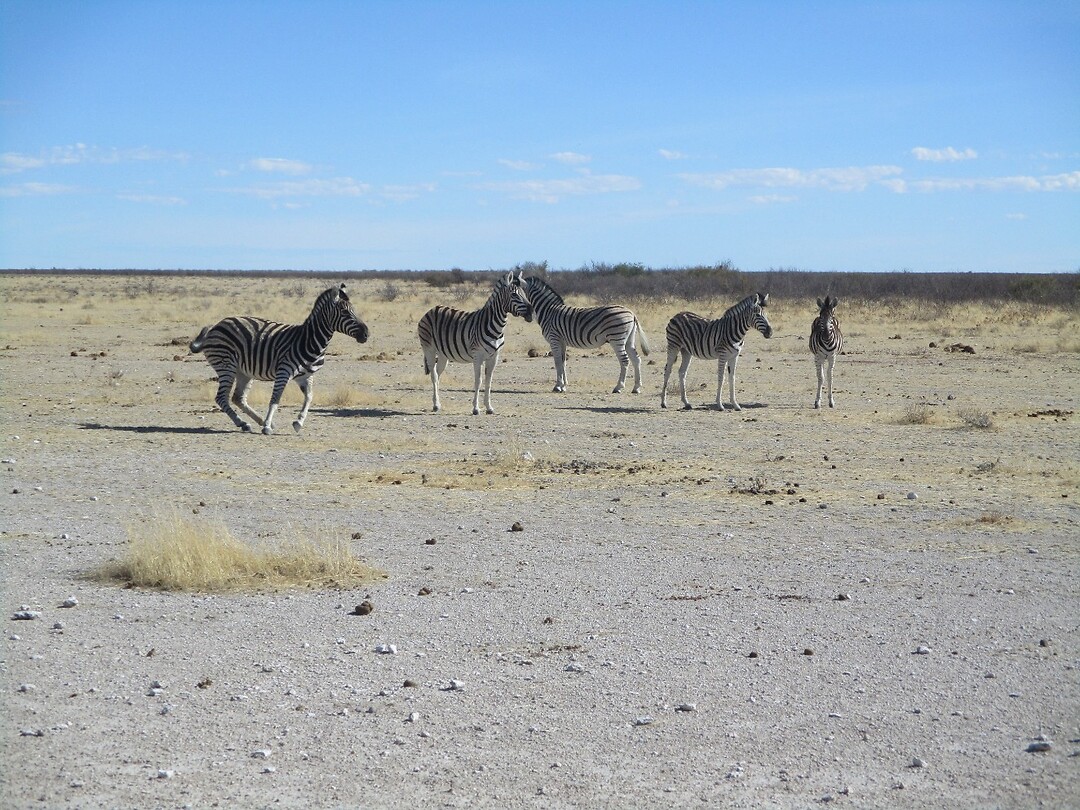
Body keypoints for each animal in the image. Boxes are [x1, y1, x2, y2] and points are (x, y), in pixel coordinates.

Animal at [189, 283, 368, 434]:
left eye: (354, 311)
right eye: (345, 312)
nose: (366, 334)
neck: (310, 340)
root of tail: (216, 326)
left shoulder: (306, 376)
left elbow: (309, 398)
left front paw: (298, 422)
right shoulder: (284, 372)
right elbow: (275, 399)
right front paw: (268, 426)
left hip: (243, 371)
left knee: (238, 398)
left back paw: (252, 422)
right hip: (226, 365)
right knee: (221, 398)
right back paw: (245, 423)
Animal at [417, 271, 533, 415]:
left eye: (524, 293)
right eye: (514, 294)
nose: (531, 312)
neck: (496, 327)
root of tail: (432, 309)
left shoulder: (494, 356)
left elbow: (489, 381)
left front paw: (489, 407)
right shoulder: (477, 356)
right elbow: (479, 381)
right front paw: (476, 408)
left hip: (443, 354)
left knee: (437, 375)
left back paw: (437, 403)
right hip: (429, 349)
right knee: (433, 375)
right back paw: (436, 405)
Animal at [519, 273, 650, 394]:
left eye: (518, 293)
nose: (528, 317)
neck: (548, 311)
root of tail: (632, 313)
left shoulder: (554, 339)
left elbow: (557, 362)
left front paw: (557, 386)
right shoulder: (562, 341)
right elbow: (563, 361)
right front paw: (563, 386)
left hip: (616, 339)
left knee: (625, 360)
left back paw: (618, 387)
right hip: (629, 340)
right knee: (636, 359)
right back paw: (636, 388)